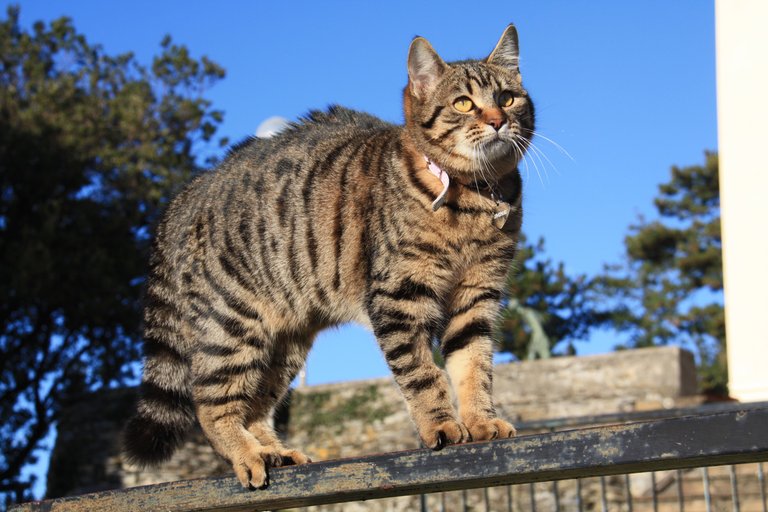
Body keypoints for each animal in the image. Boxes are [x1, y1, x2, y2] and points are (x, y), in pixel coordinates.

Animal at [124, 24, 536, 488]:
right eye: (463, 103)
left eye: (508, 98)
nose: (498, 120)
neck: (475, 202)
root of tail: (187, 192)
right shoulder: (400, 295)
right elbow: (421, 372)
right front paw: (441, 425)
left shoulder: (477, 295)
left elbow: (473, 366)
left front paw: (481, 420)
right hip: (232, 326)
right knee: (211, 404)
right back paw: (246, 454)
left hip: (283, 344)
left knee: (255, 405)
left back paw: (273, 450)